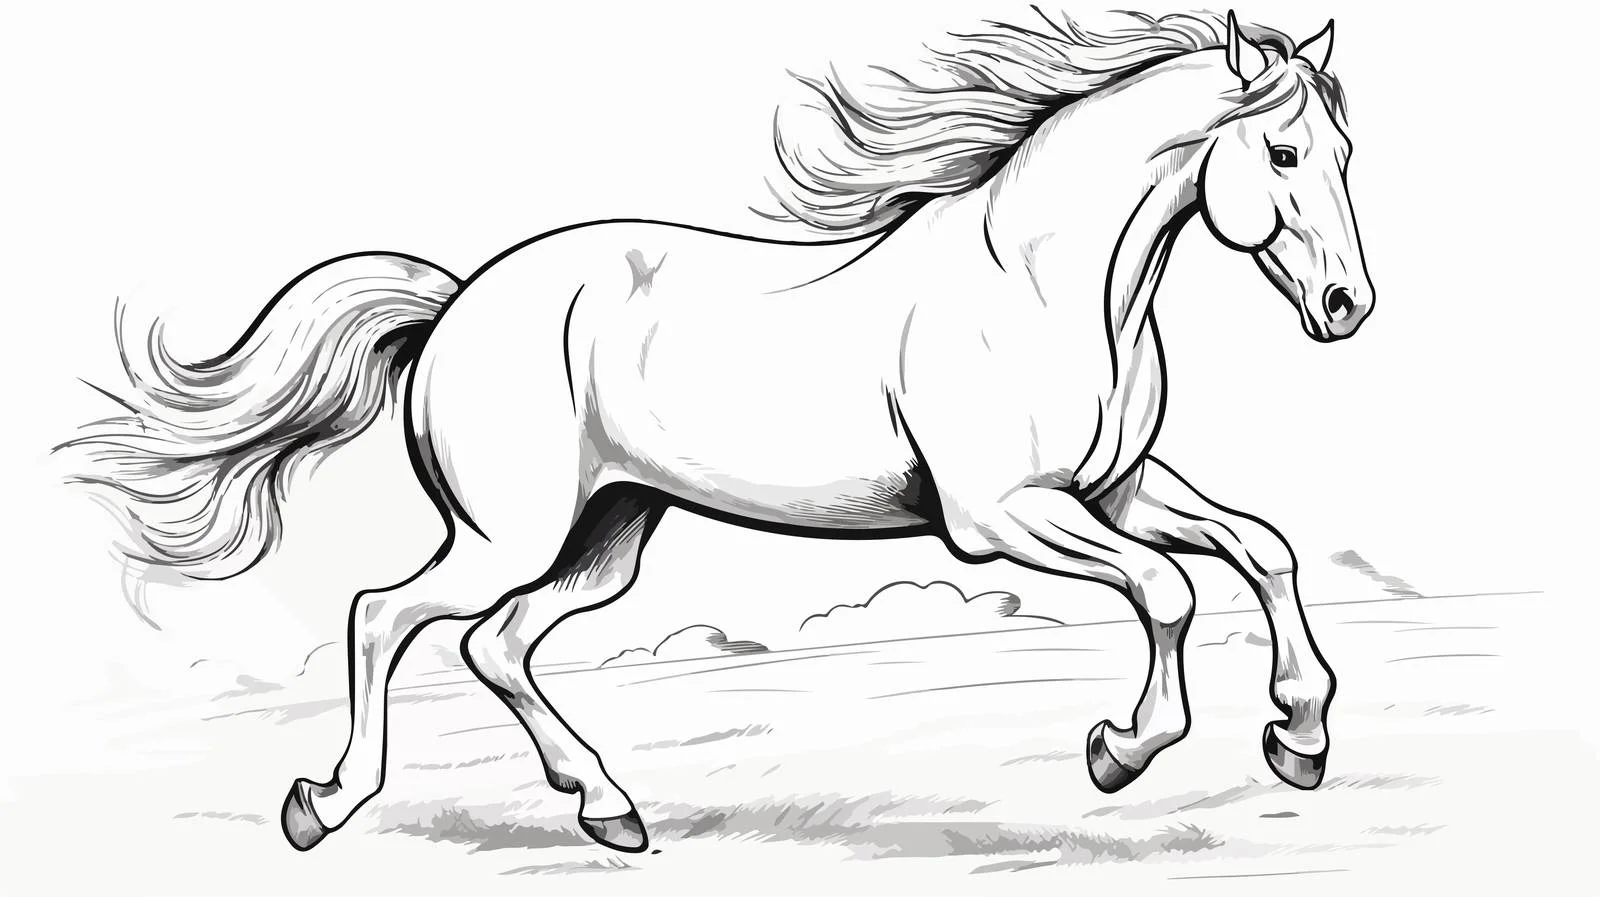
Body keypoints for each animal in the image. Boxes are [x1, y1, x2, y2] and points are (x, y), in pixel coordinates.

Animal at [59, 9, 1373, 855]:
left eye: (1348, 152)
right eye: (1284, 151)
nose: (1346, 308)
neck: (1045, 285)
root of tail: (455, 305)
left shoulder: (1116, 488)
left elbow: (1262, 549)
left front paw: (1299, 737)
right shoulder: (1003, 517)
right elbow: (1168, 591)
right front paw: (1121, 747)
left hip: (607, 536)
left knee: (499, 645)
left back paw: (610, 812)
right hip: (507, 538)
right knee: (384, 616)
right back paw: (320, 807)